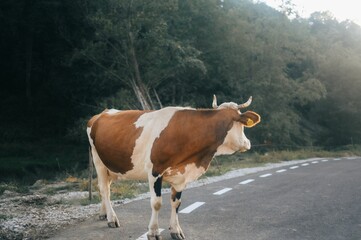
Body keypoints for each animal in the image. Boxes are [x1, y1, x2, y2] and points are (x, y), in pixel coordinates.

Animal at [87, 95, 260, 240]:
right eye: (241, 123)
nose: (248, 143)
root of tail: (102, 113)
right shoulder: (154, 171)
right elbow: (156, 203)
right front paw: (153, 232)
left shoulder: (181, 175)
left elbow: (176, 203)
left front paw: (176, 231)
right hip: (98, 161)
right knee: (105, 189)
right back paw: (112, 219)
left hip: (111, 166)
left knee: (105, 187)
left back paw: (103, 214)